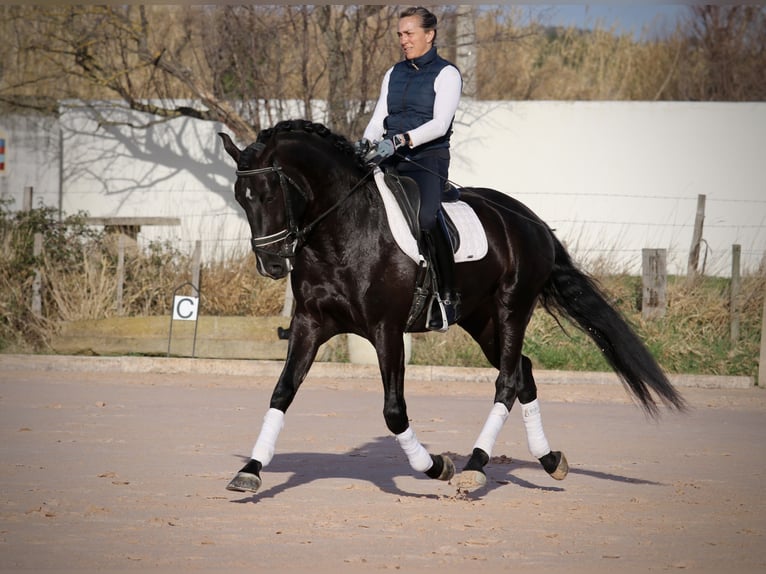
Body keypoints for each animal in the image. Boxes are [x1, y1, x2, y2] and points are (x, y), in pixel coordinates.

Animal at [218, 120, 688, 496]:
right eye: (241, 198)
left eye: (268, 194)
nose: (270, 263)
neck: (342, 231)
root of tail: (531, 220)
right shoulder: (310, 324)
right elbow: (282, 392)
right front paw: (250, 471)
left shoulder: (387, 330)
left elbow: (394, 412)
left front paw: (437, 466)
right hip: (481, 320)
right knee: (523, 373)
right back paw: (549, 460)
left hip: (512, 308)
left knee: (507, 381)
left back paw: (475, 467)